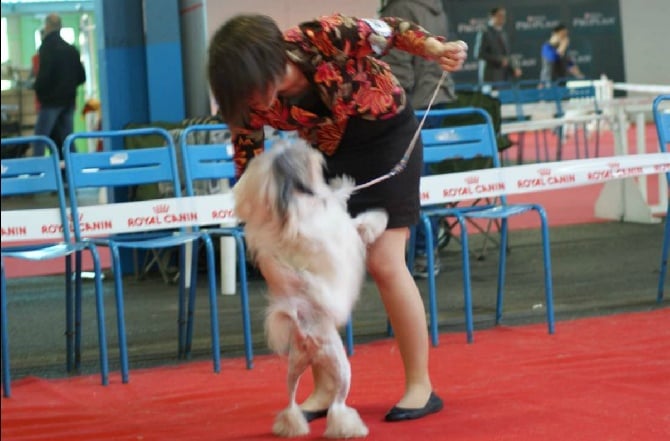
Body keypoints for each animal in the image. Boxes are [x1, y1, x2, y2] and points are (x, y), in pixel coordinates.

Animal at [235, 140, 388, 436]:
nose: (312, 149)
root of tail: (305, 335)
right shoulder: (334, 225)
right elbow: (357, 222)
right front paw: (371, 215)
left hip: (293, 370)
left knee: (291, 403)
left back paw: (290, 427)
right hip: (341, 369)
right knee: (338, 406)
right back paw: (350, 429)